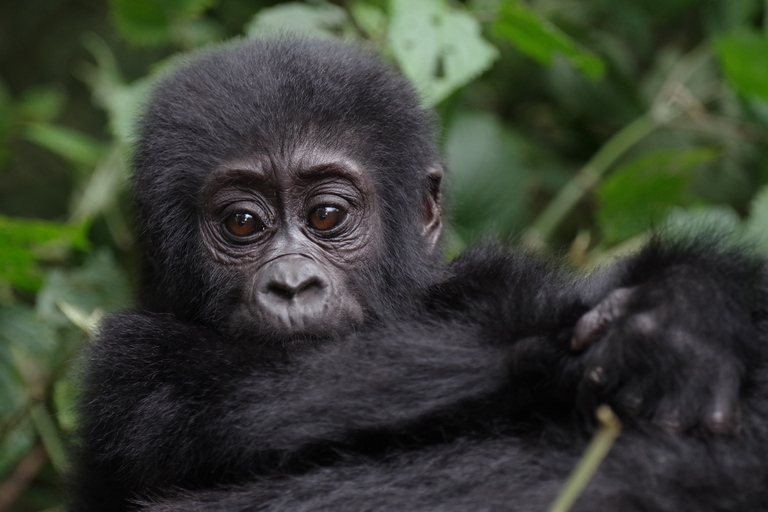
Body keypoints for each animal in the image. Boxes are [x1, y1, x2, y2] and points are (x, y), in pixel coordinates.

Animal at [69, 39, 768, 512]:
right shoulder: (127, 362)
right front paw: (576, 349)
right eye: (242, 224)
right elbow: (261, 404)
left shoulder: (480, 277)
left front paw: (686, 307)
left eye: (326, 215)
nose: (292, 285)